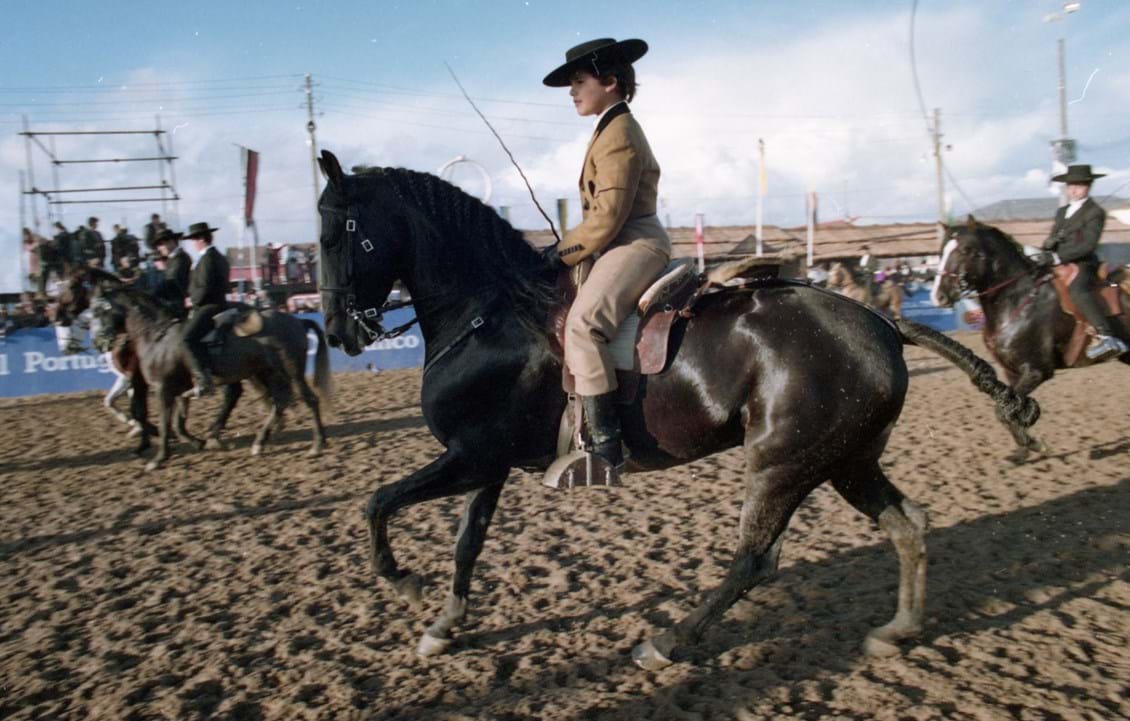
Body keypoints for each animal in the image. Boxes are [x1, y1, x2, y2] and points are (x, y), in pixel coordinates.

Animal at [93, 284, 332, 472]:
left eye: (98, 311)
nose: (98, 342)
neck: (158, 338)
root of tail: (297, 322)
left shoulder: (163, 389)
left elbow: (164, 423)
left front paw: (159, 458)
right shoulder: (179, 389)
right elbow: (177, 423)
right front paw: (198, 442)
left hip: (291, 370)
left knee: (309, 399)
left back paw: (317, 445)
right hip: (269, 371)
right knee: (279, 402)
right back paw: (259, 442)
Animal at [314, 151, 1035, 673]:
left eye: (335, 233)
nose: (340, 330)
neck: (489, 313)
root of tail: (880, 320)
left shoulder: (469, 457)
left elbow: (377, 503)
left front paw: (404, 584)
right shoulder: (484, 462)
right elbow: (466, 541)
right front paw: (443, 624)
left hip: (784, 463)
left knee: (755, 560)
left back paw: (668, 642)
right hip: (847, 460)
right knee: (907, 525)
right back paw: (899, 629)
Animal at [931, 216, 1125, 463]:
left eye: (965, 250)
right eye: (941, 251)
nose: (938, 296)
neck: (1019, 300)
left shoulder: (1036, 371)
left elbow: (1002, 411)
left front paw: (1035, 445)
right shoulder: (1012, 372)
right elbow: (1008, 410)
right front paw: (1021, 452)